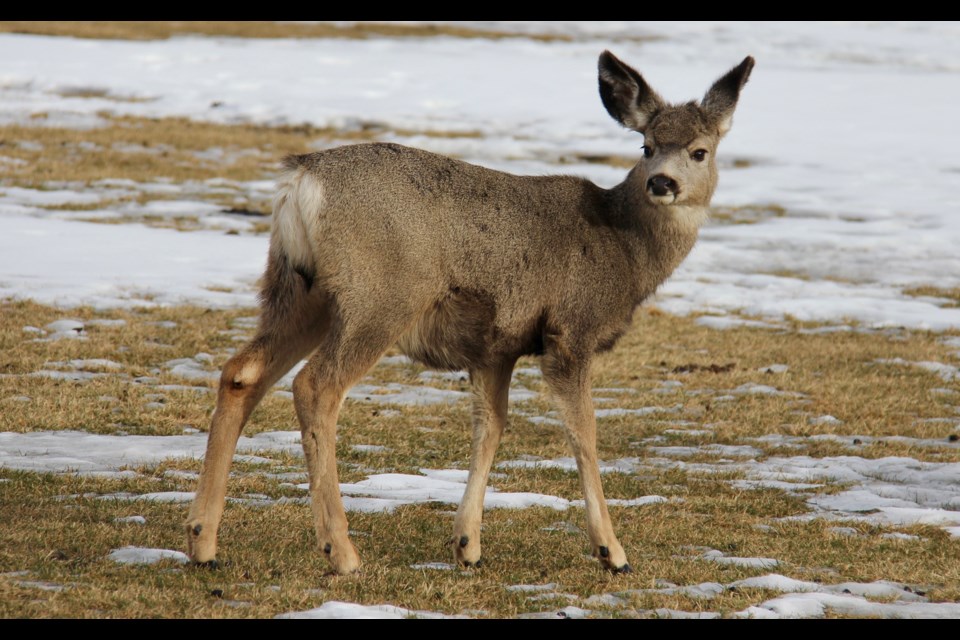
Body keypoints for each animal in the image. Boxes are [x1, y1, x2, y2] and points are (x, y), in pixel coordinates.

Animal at [186, 51, 756, 576]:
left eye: (700, 151)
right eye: (647, 146)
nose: (661, 183)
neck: (624, 249)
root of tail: (301, 178)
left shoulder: (495, 348)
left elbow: (491, 426)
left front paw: (467, 545)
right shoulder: (570, 333)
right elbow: (584, 434)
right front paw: (612, 552)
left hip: (302, 291)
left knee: (241, 372)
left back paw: (203, 542)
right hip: (381, 296)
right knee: (315, 386)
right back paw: (341, 552)